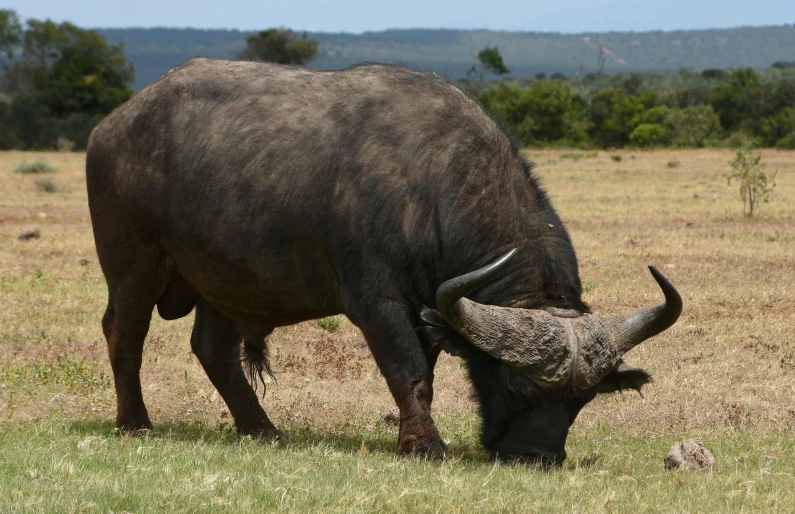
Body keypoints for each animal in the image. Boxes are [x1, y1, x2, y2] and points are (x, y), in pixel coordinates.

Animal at [88, 59, 684, 464]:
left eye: (581, 401)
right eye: (517, 388)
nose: (536, 457)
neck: (432, 188)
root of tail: (112, 126)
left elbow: (425, 371)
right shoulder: (379, 303)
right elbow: (409, 372)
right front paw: (424, 444)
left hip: (230, 283)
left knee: (212, 349)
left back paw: (262, 429)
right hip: (134, 266)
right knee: (124, 334)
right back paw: (135, 423)